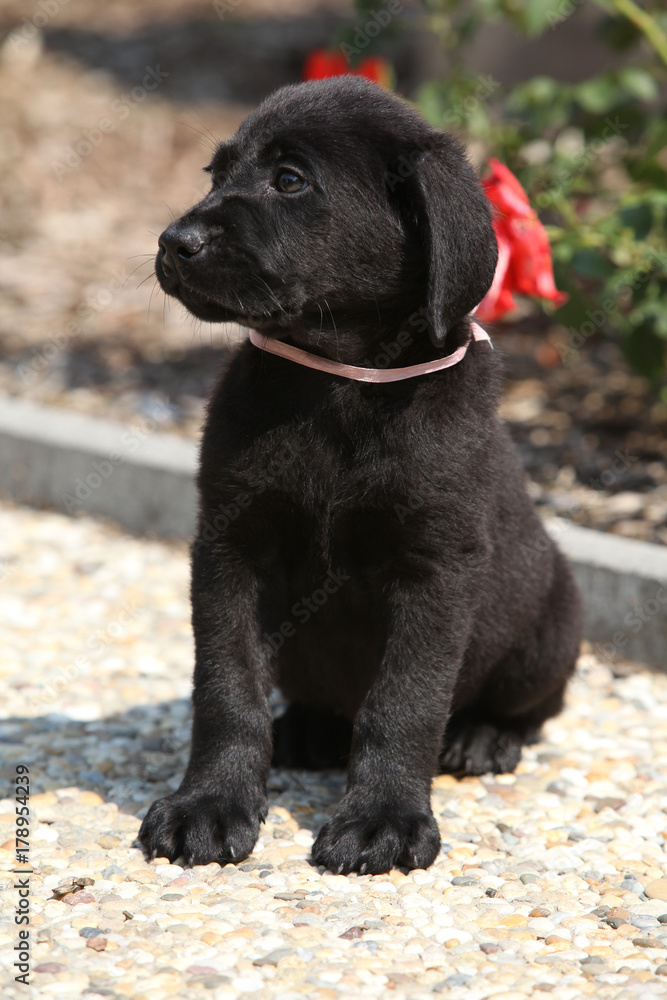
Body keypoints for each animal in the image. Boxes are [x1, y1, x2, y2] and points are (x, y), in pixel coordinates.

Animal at [138, 80, 580, 876]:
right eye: (216, 175)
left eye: (290, 180)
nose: (173, 242)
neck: (337, 384)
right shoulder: (229, 546)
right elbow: (225, 687)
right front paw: (208, 803)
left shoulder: (434, 567)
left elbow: (403, 702)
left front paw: (383, 819)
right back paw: (304, 729)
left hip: (553, 623)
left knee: (529, 706)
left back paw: (483, 735)